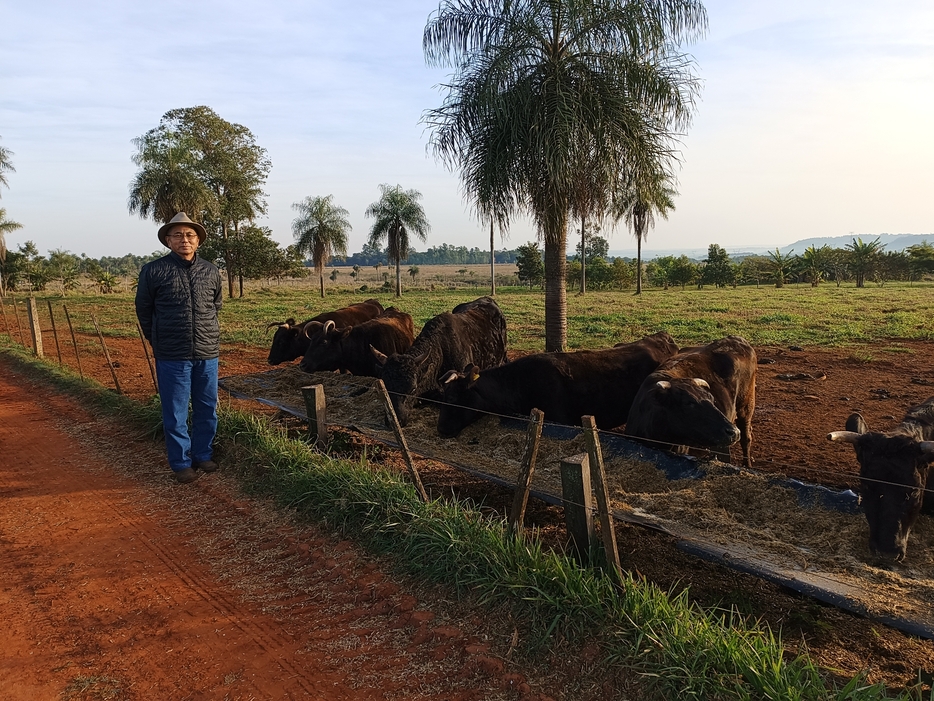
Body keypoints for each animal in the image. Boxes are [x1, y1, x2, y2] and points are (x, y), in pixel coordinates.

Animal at [624, 334, 756, 468]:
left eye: (712, 399)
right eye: (689, 403)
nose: (733, 432)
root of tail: (735, 338)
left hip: (746, 407)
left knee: (746, 437)